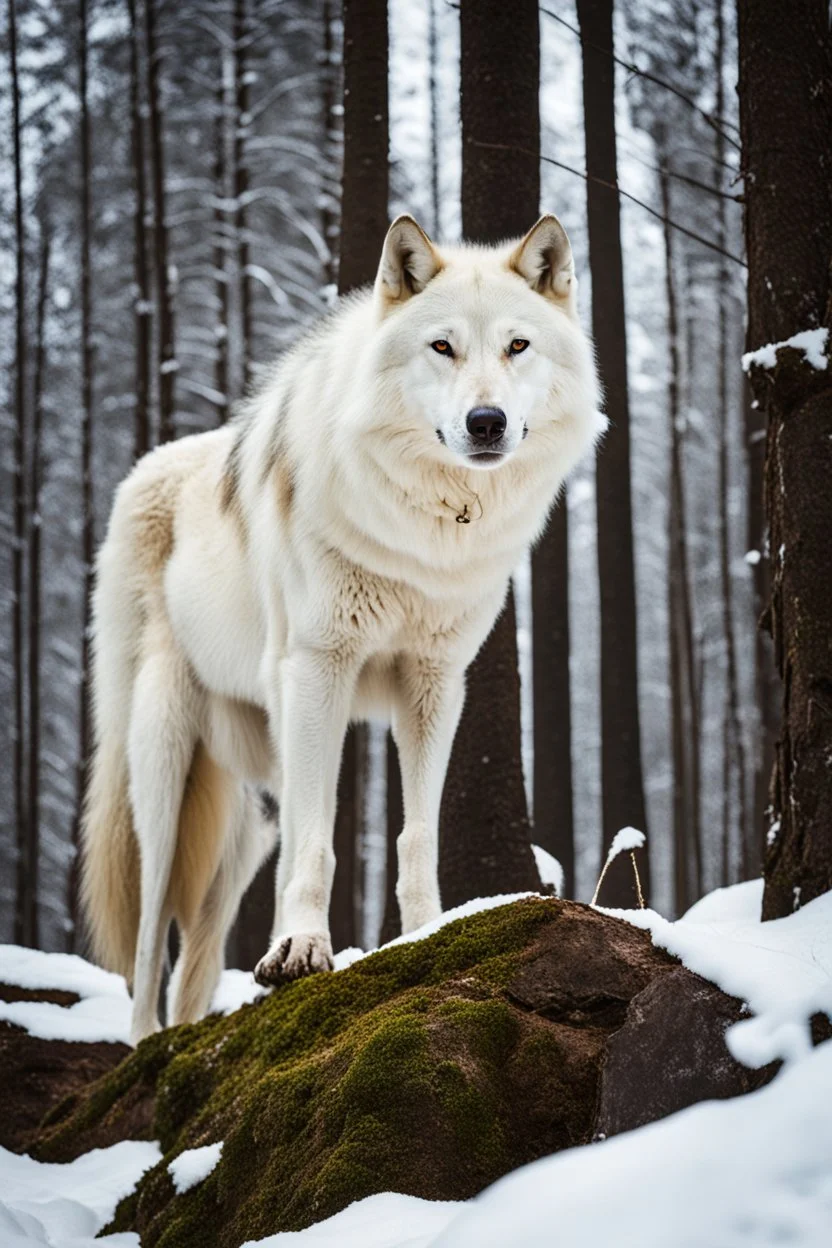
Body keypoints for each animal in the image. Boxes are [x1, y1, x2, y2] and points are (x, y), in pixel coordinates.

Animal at [84, 214, 601, 1043]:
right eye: (442, 347)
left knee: (206, 932)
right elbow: (320, 839)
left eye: (518, 346)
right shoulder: (319, 669)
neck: (429, 532)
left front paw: (425, 936)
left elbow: (415, 834)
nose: (486, 423)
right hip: (163, 769)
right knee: (148, 935)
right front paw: (301, 950)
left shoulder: (434, 682)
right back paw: (145, 1046)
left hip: (245, 814)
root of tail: (141, 473)